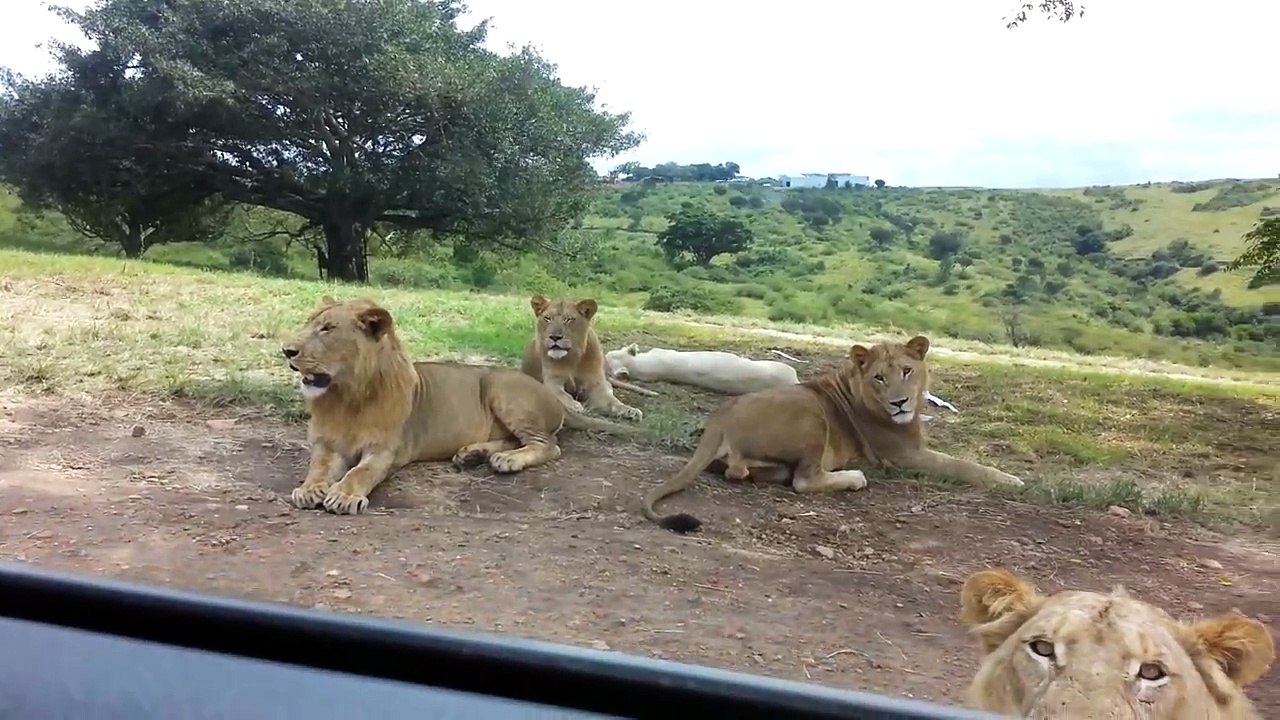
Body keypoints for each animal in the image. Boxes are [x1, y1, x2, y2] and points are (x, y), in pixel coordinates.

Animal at [280, 295, 636, 515]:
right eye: (309, 323)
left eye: (327, 329)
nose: (286, 350)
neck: (347, 396)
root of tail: (553, 396)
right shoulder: (327, 444)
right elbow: (318, 468)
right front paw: (309, 490)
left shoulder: (384, 451)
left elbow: (360, 472)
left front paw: (343, 495)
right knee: (514, 439)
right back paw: (474, 454)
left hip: (501, 389)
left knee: (548, 445)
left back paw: (506, 461)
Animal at [641, 335, 1023, 533]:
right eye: (879, 377)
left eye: (907, 370)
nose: (899, 403)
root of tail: (720, 415)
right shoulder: (904, 455)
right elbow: (964, 466)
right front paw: (1012, 480)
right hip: (813, 415)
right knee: (803, 480)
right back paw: (853, 477)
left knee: (744, 471)